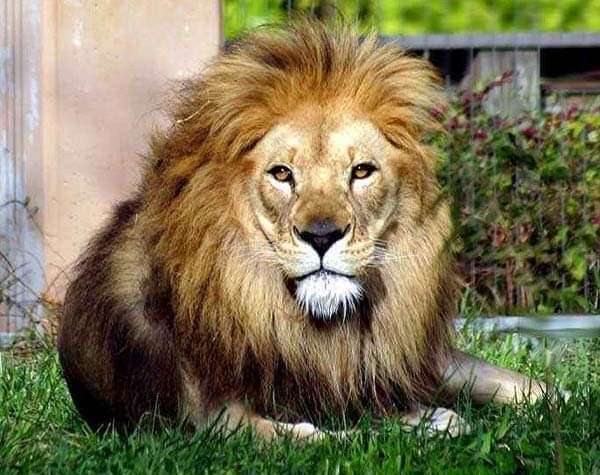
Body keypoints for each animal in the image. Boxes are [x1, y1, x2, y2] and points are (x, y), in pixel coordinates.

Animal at [58, 20, 546, 440]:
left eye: (361, 171)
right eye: (282, 174)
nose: (322, 236)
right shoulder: (212, 420)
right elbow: (327, 437)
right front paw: (429, 423)